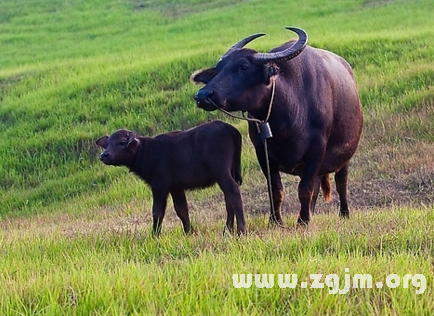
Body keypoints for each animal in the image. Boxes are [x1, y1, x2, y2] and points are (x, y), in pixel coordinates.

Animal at [192, 26, 364, 225]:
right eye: (219, 69)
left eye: (244, 67)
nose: (203, 95)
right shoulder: (262, 151)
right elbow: (276, 190)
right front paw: (275, 220)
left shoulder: (317, 149)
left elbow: (305, 189)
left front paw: (303, 221)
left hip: (345, 155)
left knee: (340, 181)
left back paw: (343, 213)